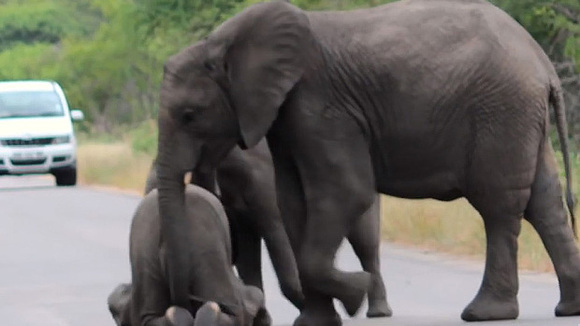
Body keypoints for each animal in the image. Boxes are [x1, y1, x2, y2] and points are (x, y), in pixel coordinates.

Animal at [145, 139, 392, 318]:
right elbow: (247, 253)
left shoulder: (265, 182)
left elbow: (279, 237)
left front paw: (307, 305)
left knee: (364, 241)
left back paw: (377, 311)